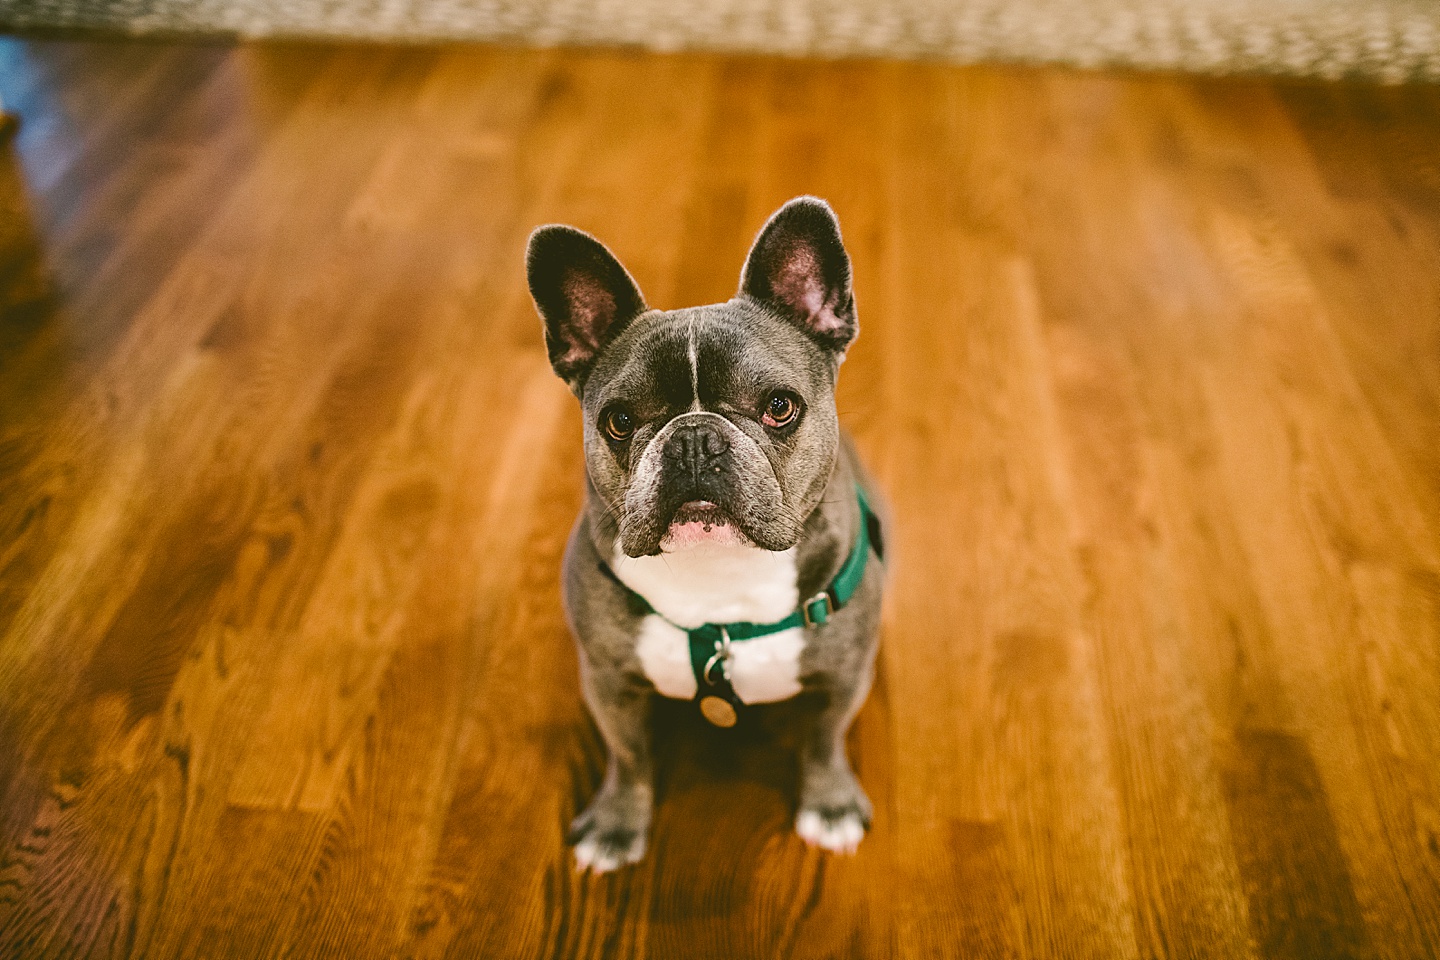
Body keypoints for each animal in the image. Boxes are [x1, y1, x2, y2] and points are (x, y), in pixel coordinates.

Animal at [529, 195, 881, 869]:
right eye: (618, 421)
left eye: (779, 407)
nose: (693, 439)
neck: (717, 581)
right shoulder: (609, 683)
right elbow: (629, 760)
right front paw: (616, 825)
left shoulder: (841, 676)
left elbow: (824, 743)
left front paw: (829, 807)